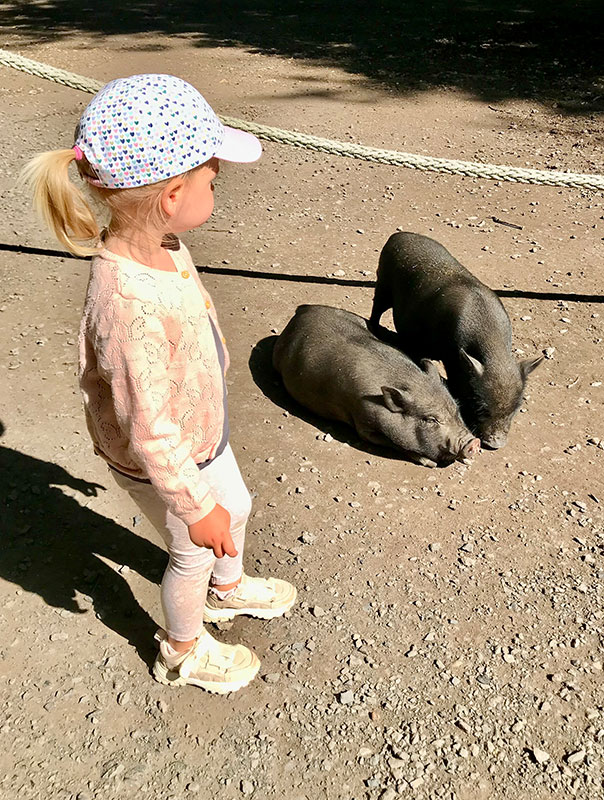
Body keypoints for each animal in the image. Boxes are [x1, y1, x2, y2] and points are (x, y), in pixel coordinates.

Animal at [274, 306, 482, 468]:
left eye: (456, 409)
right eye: (431, 420)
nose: (474, 442)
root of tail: (302, 310)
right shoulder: (363, 422)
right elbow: (391, 443)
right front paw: (429, 462)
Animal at [368, 233, 544, 450]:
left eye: (517, 408)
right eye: (481, 407)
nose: (496, 444)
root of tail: (397, 235)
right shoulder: (451, 357)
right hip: (382, 284)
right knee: (376, 308)